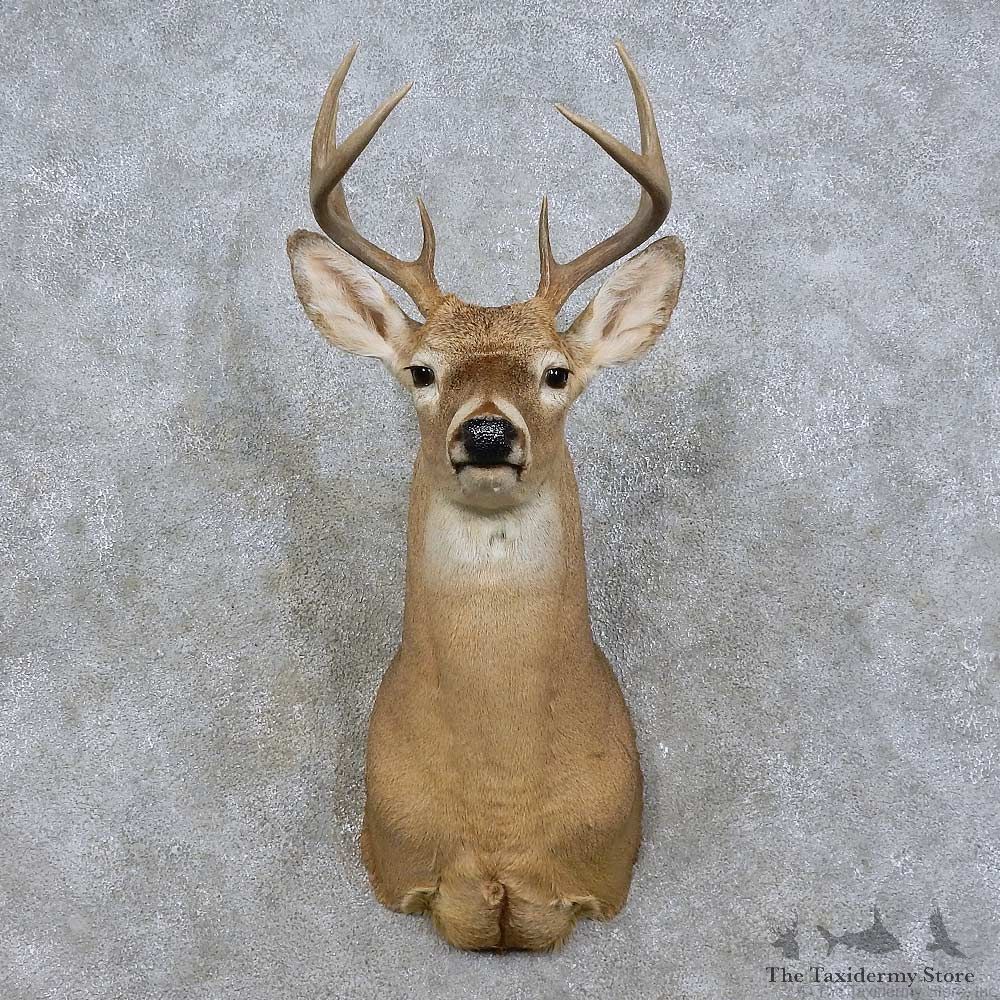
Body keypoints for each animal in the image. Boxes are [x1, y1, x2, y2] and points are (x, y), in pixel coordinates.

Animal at [286, 41, 685, 952]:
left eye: (557, 372)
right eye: (420, 369)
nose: (490, 434)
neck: (500, 817)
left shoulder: (604, 871)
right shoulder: (395, 857)